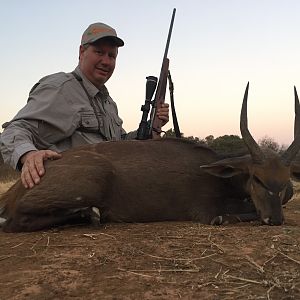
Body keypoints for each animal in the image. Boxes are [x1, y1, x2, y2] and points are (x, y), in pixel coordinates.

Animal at [0, 83, 300, 231]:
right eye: (257, 179)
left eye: (286, 180)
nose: (275, 220)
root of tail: (15, 190)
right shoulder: (205, 210)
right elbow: (227, 216)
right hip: (96, 177)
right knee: (14, 221)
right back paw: (91, 214)